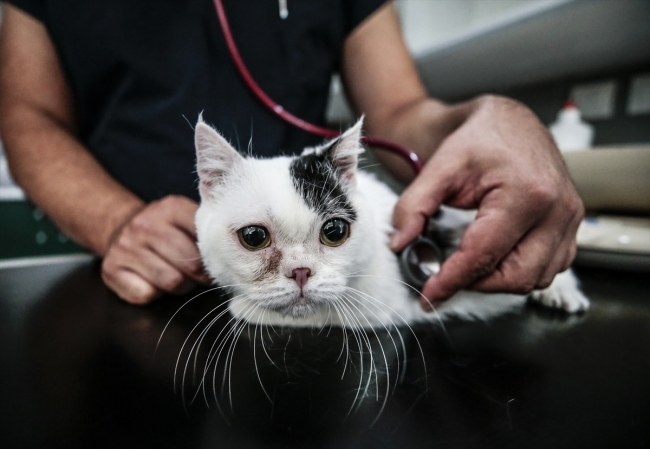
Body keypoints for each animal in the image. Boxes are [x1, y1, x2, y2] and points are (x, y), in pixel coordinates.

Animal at [191, 115, 588, 328]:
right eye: (254, 237)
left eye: (334, 232)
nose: (301, 272)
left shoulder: (382, 306)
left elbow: (314, 311)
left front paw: (243, 306)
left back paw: (560, 292)